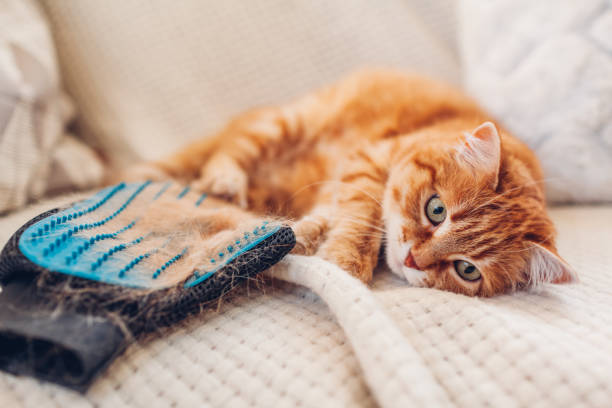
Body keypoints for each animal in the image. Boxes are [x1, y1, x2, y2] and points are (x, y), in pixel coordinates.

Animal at [118, 68, 572, 294]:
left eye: (467, 271)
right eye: (436, 209)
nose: (413, 260)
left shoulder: (338, 184)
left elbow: (325, 217)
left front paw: (301, 237)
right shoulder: (367, 162)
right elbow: (361, 219)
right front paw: (346, 264)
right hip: (285, 121)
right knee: (228, 148)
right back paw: (221, 180)